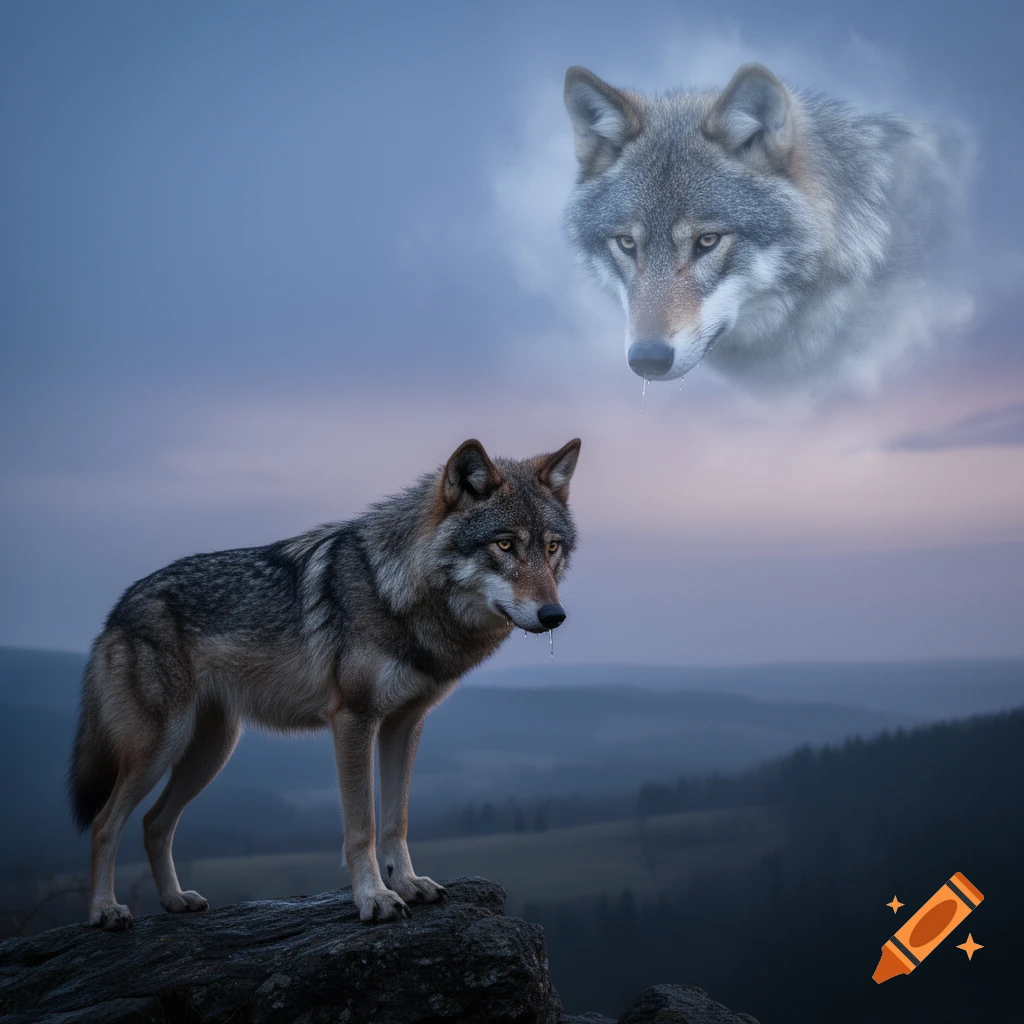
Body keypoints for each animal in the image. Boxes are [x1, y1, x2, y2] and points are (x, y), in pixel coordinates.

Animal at [68, 437, 580, 930]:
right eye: (505, 545)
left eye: (551, 547)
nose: (554, 615)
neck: (396, 591)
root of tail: (116, 611)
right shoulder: (353, 719)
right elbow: (362, 827)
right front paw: (374, 898)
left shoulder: (405, 723)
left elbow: (396, 820)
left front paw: (408, 883)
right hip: (161, 747)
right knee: (105, 823)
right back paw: (104, 911)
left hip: (210, 752)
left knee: (154, 822)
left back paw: (176, 900)